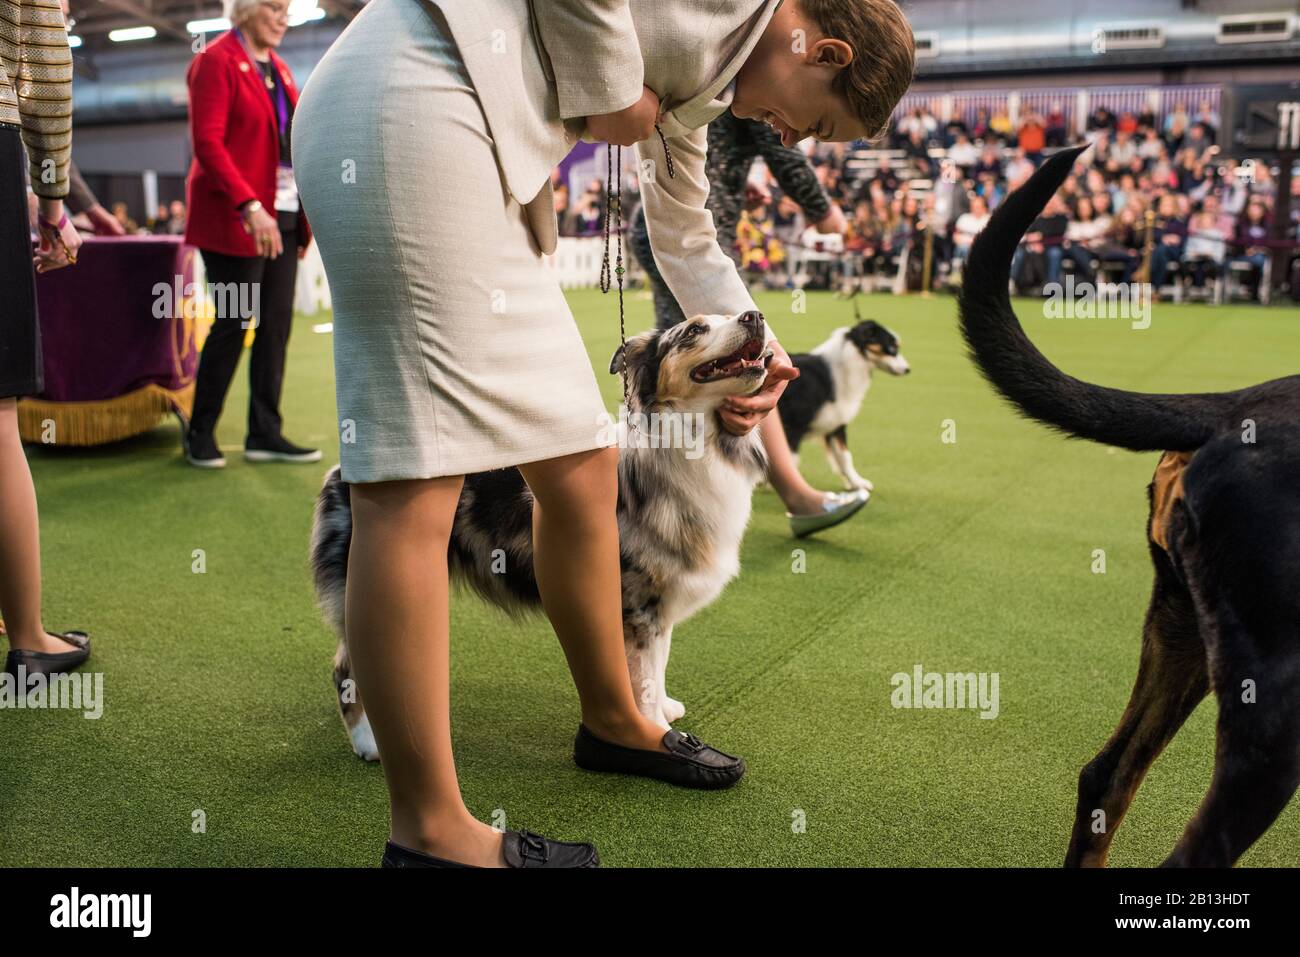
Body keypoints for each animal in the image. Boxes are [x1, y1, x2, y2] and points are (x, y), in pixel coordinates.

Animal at [313, 310, 774, 759]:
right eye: (695, 329)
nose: (754, 315)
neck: (698, 443)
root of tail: (345, 471)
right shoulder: (638, 604)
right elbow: (643, 677)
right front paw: (656, 734)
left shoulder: (660, 603)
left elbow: (657, 669)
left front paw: (665, 709)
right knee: (344, 669)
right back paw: (368, 743)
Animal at [774, 317, 909, 494]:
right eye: (892, 348)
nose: (908, 369)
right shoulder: (795, 425)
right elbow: (791, 459)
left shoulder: (836, 424)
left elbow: (845, 457)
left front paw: (857, 483)